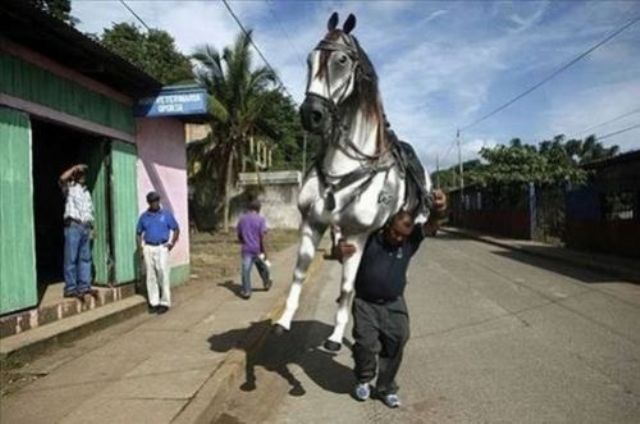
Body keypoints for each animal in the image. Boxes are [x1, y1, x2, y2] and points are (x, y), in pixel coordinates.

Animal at [272, 12, 432, 352]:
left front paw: (335, 335)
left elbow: (348, 286)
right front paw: (284, 320)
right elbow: (299, 272)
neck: (344, 167)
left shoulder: (358, 234)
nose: (311, 114)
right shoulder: (313, 222)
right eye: (309, 60)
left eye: (342, 61)